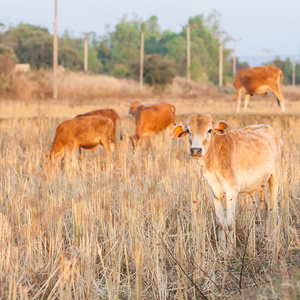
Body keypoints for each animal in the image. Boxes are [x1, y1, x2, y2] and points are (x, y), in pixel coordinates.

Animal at [170, 113, 282, 247]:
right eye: (189, 130)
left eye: (209, 130)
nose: (195, 150)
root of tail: (266, 127)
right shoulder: (214, 192)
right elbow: (221, 224)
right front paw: (222, 249)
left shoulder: (232, 192)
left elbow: (229, 224)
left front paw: (231, 249)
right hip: (260, 185)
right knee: (265, 209)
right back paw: (266, 238)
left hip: (275, 178)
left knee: (273, 211)